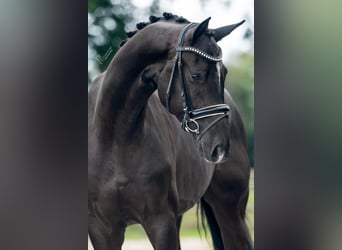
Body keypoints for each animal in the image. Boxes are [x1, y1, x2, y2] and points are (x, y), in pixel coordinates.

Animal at [88, 12, 252, 249]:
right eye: (196, 75)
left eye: (224, 73)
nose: (220, 149)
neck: (114, 136)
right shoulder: (102, 228)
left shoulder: (160, 222)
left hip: (230, 209)